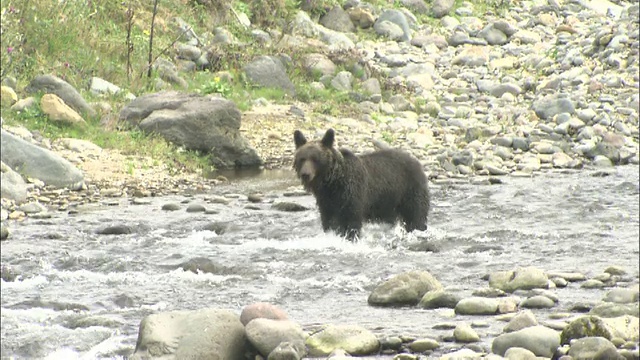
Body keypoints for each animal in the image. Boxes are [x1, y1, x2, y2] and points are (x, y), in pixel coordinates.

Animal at [296, 128, 430, 240]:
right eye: (302, 158)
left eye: (315, 159)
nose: (305, 174)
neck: (332, 182)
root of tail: (416, 162)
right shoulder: (326, 201)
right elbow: (329, 221)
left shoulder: (352, 193)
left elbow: (351, 219)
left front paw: (351, 236)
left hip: (409, 189)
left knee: (416, 213)